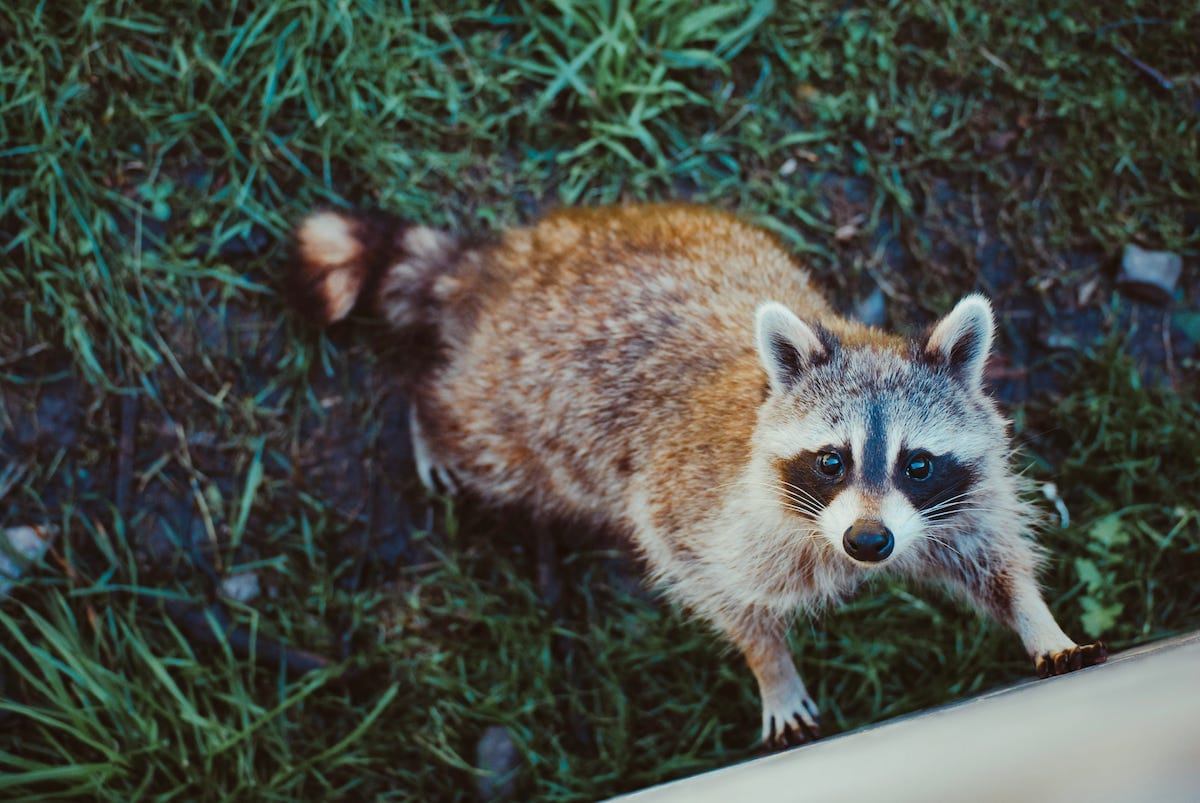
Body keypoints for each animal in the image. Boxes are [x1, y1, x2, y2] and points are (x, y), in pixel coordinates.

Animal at [290, 201, 1104, 744]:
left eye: (919, 463)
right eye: (831, 460)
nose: (869, 543)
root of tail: (511, 265)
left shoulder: (951, 500)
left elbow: (989, 554)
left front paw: (1037, 617)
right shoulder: (695, 504)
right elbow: (713, 583)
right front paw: (769, 664)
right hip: (520, 408)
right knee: (481, 438)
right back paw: (427, 420)